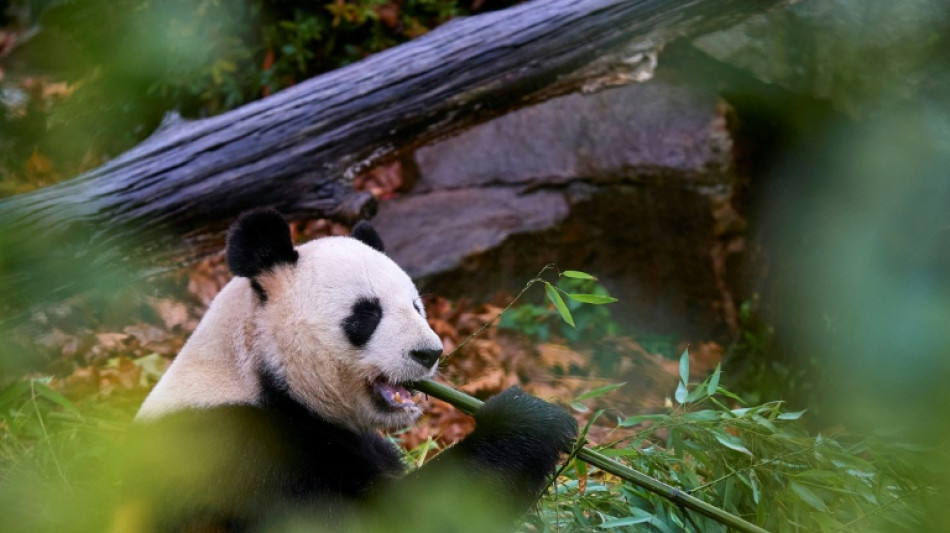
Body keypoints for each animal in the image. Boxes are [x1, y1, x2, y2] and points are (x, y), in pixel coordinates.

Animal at [125, 208, 577, 533]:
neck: (254, 372)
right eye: (366, 314)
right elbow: (389, 519)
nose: (428, 353)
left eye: (416, 306)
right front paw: (528, 418)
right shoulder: (233, 451)